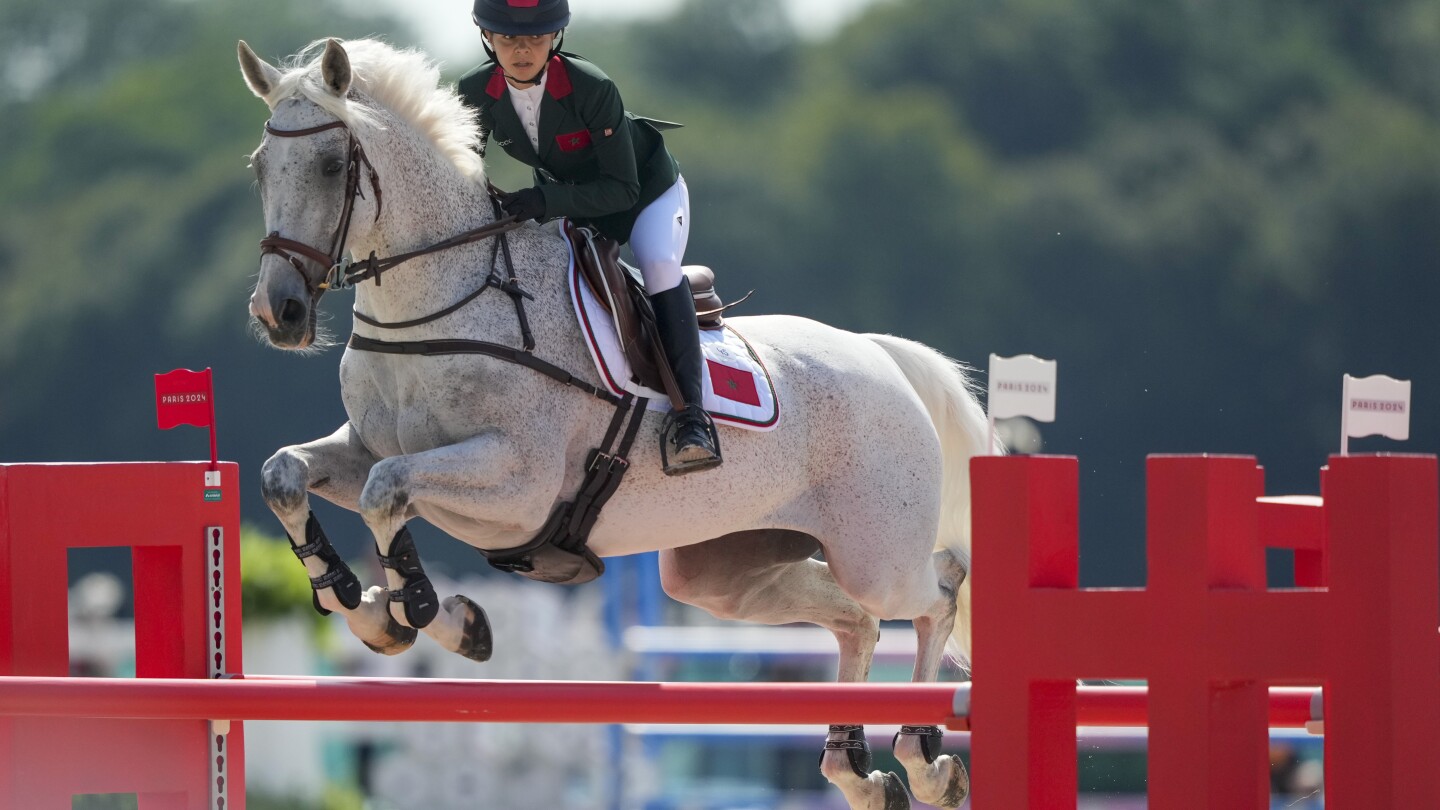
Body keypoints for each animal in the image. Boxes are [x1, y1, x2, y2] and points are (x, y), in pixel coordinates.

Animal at [241, 37, 996, 807]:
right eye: (261, 167)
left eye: (333, 167)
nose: (281, 313)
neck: (440, 305)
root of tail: (882, 356)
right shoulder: (367, 447)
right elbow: (286, 475)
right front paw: (368, 605)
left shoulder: (515, 486)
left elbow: (385, 494)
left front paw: (422, 610)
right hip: (722, 574)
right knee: (858, 620)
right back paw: (859, 772)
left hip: (876, 556)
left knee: (937, 592)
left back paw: (926, 758)